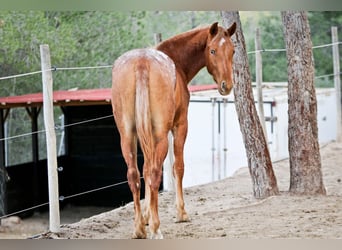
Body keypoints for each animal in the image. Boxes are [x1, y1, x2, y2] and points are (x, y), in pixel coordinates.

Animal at [111, 22, 236, 239]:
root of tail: (141, 63)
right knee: (155, 173)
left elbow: (144, 169)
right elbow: (178, 167)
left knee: (134, 174)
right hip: (161, 136)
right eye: (213, 50)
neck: (176, 63)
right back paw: (156, 228)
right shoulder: (180, 126)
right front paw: (181, 213)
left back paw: (139, 229)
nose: (226, 86)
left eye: (233, 51)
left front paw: (145, 216)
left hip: (127, 136)